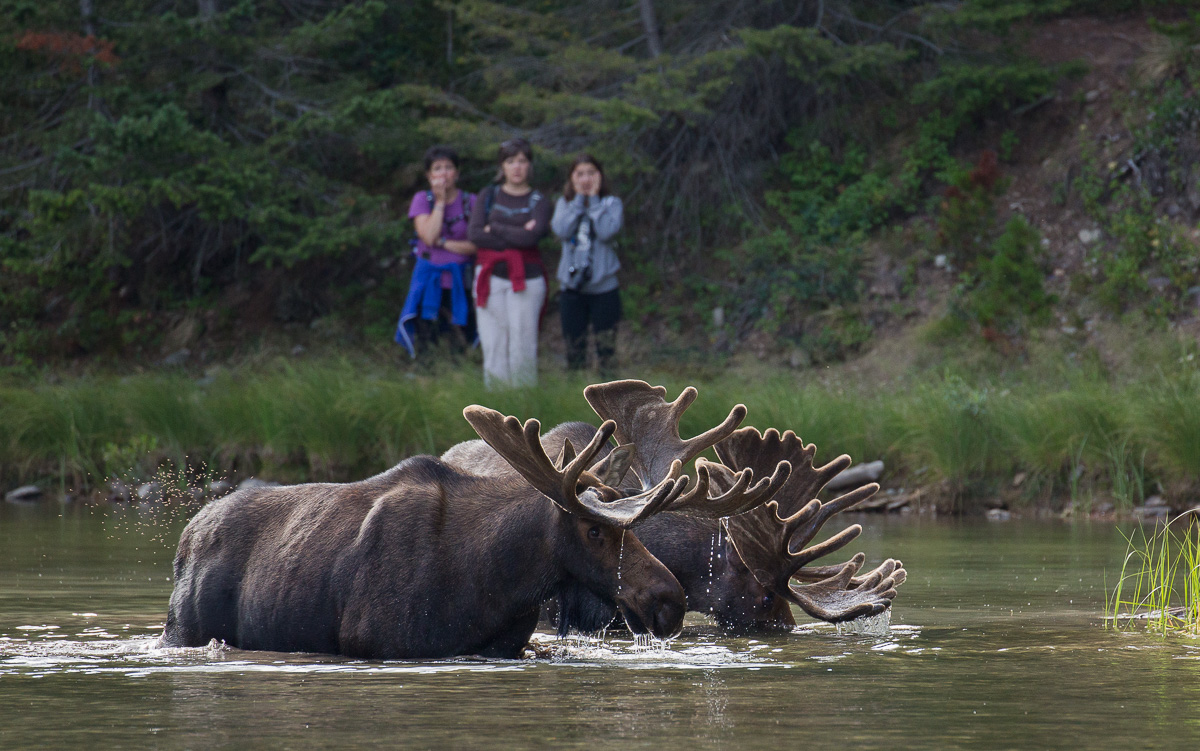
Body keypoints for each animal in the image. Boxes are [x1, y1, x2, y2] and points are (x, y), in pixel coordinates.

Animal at [155, 398, 772, 659]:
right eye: (596, 533)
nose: (670, 599)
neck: (497, 584)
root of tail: (188, 534)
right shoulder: (381, 644)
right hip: (183, 629)